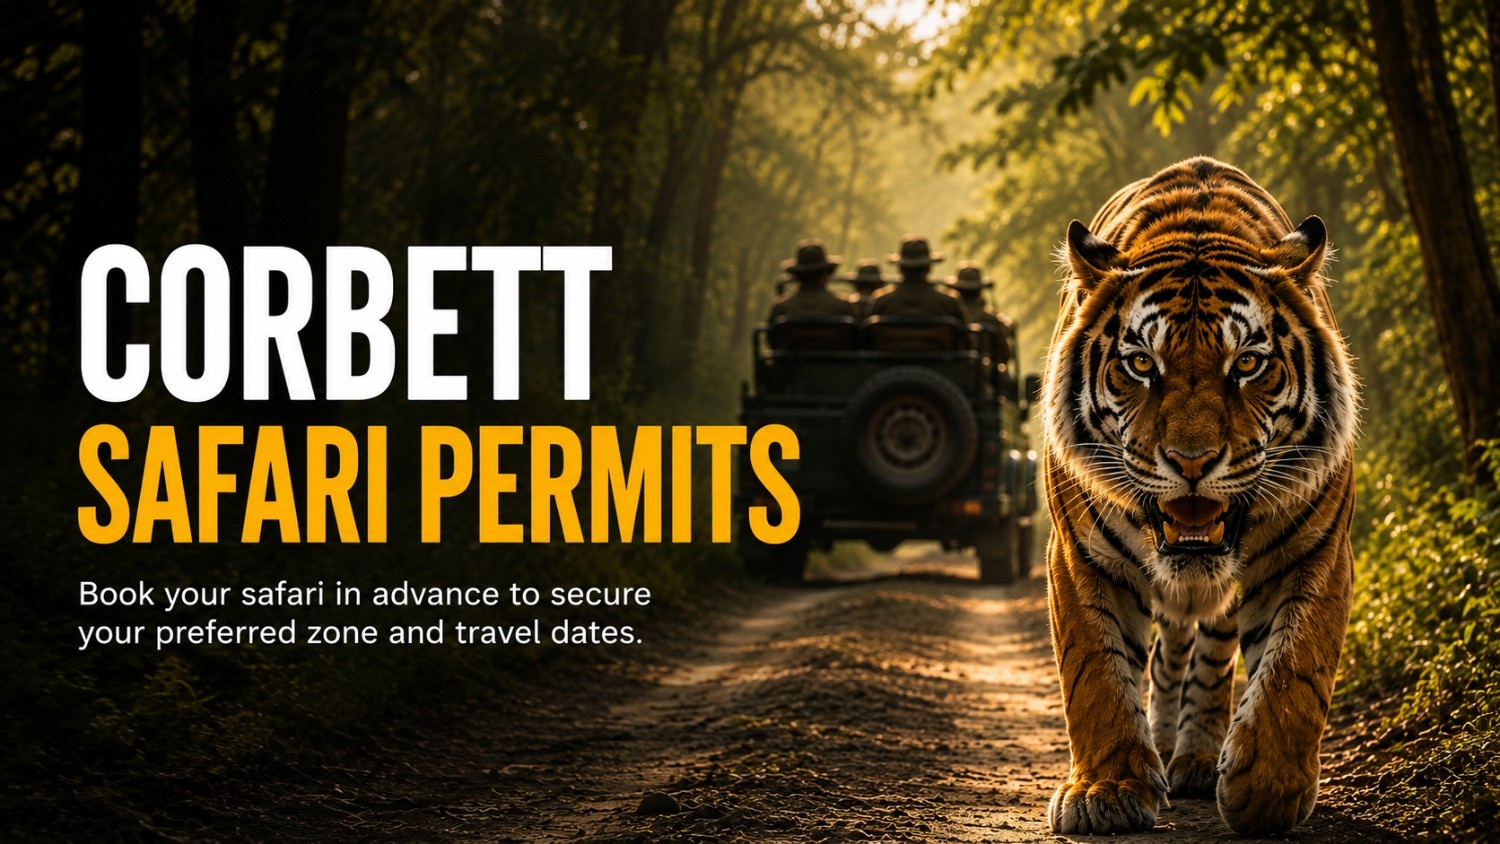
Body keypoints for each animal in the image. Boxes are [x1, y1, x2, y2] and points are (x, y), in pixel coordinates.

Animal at [1039, 157, 1358, 837]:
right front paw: (1106, 790)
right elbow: (1095, 673)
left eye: (1247, 364)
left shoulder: (1316, 552)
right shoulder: (1080, 557)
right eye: (1140, 365)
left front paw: (1265, 790)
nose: (1191, 462)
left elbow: (1295, 669)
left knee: (1210, 659)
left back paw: (1195, 759)